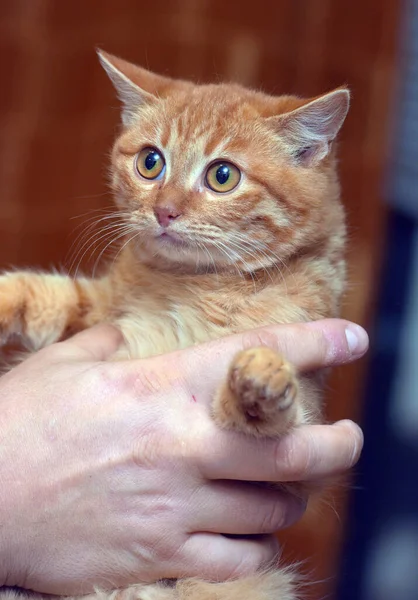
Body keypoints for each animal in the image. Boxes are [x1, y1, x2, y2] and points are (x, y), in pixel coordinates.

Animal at [0, 50, 350, 600]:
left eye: (223, 175)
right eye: (150, 162)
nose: (164, 211)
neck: (195, 284)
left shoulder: (299, 454)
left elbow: (269, 419)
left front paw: (259, 383)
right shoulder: (101, 309)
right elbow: (43, 294)